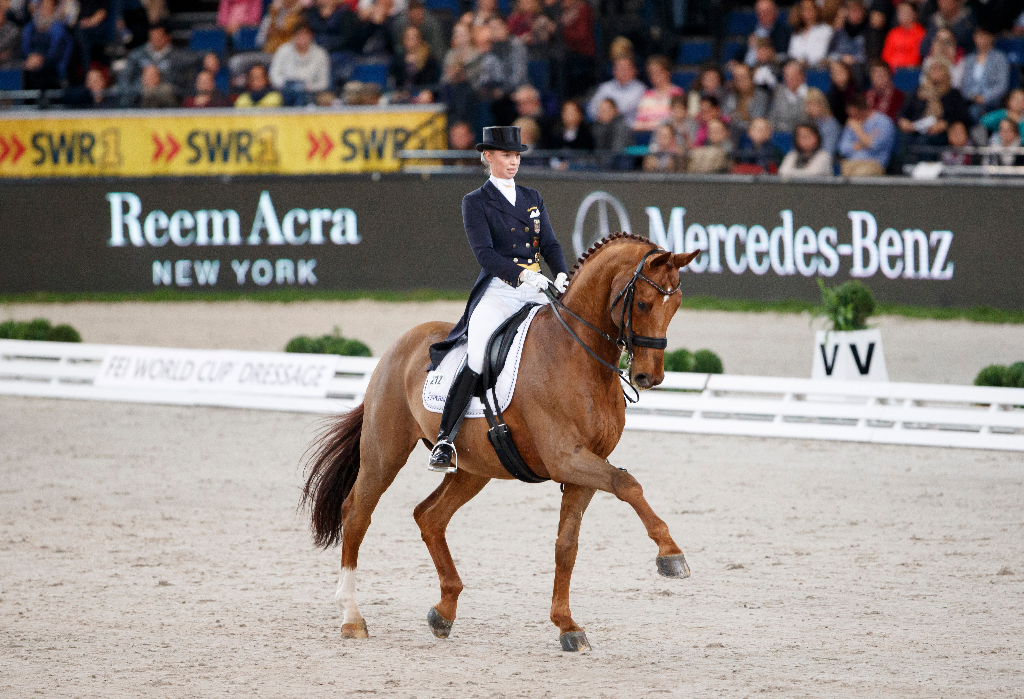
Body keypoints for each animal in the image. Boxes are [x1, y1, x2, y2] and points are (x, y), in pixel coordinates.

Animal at [303, 235, 700, 650]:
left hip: (474, 468)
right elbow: (627, 483)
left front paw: (567, 626)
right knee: (357, 514)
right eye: (643, 303)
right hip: (384, 453)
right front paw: (671, 556)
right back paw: (352, 617)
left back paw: (443, 613)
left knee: (429, 516)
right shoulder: (566, 458)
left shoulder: (585, 468)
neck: (577, 355)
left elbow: (566, 546)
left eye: (677, 304)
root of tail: (399, 345)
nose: (648, 377)